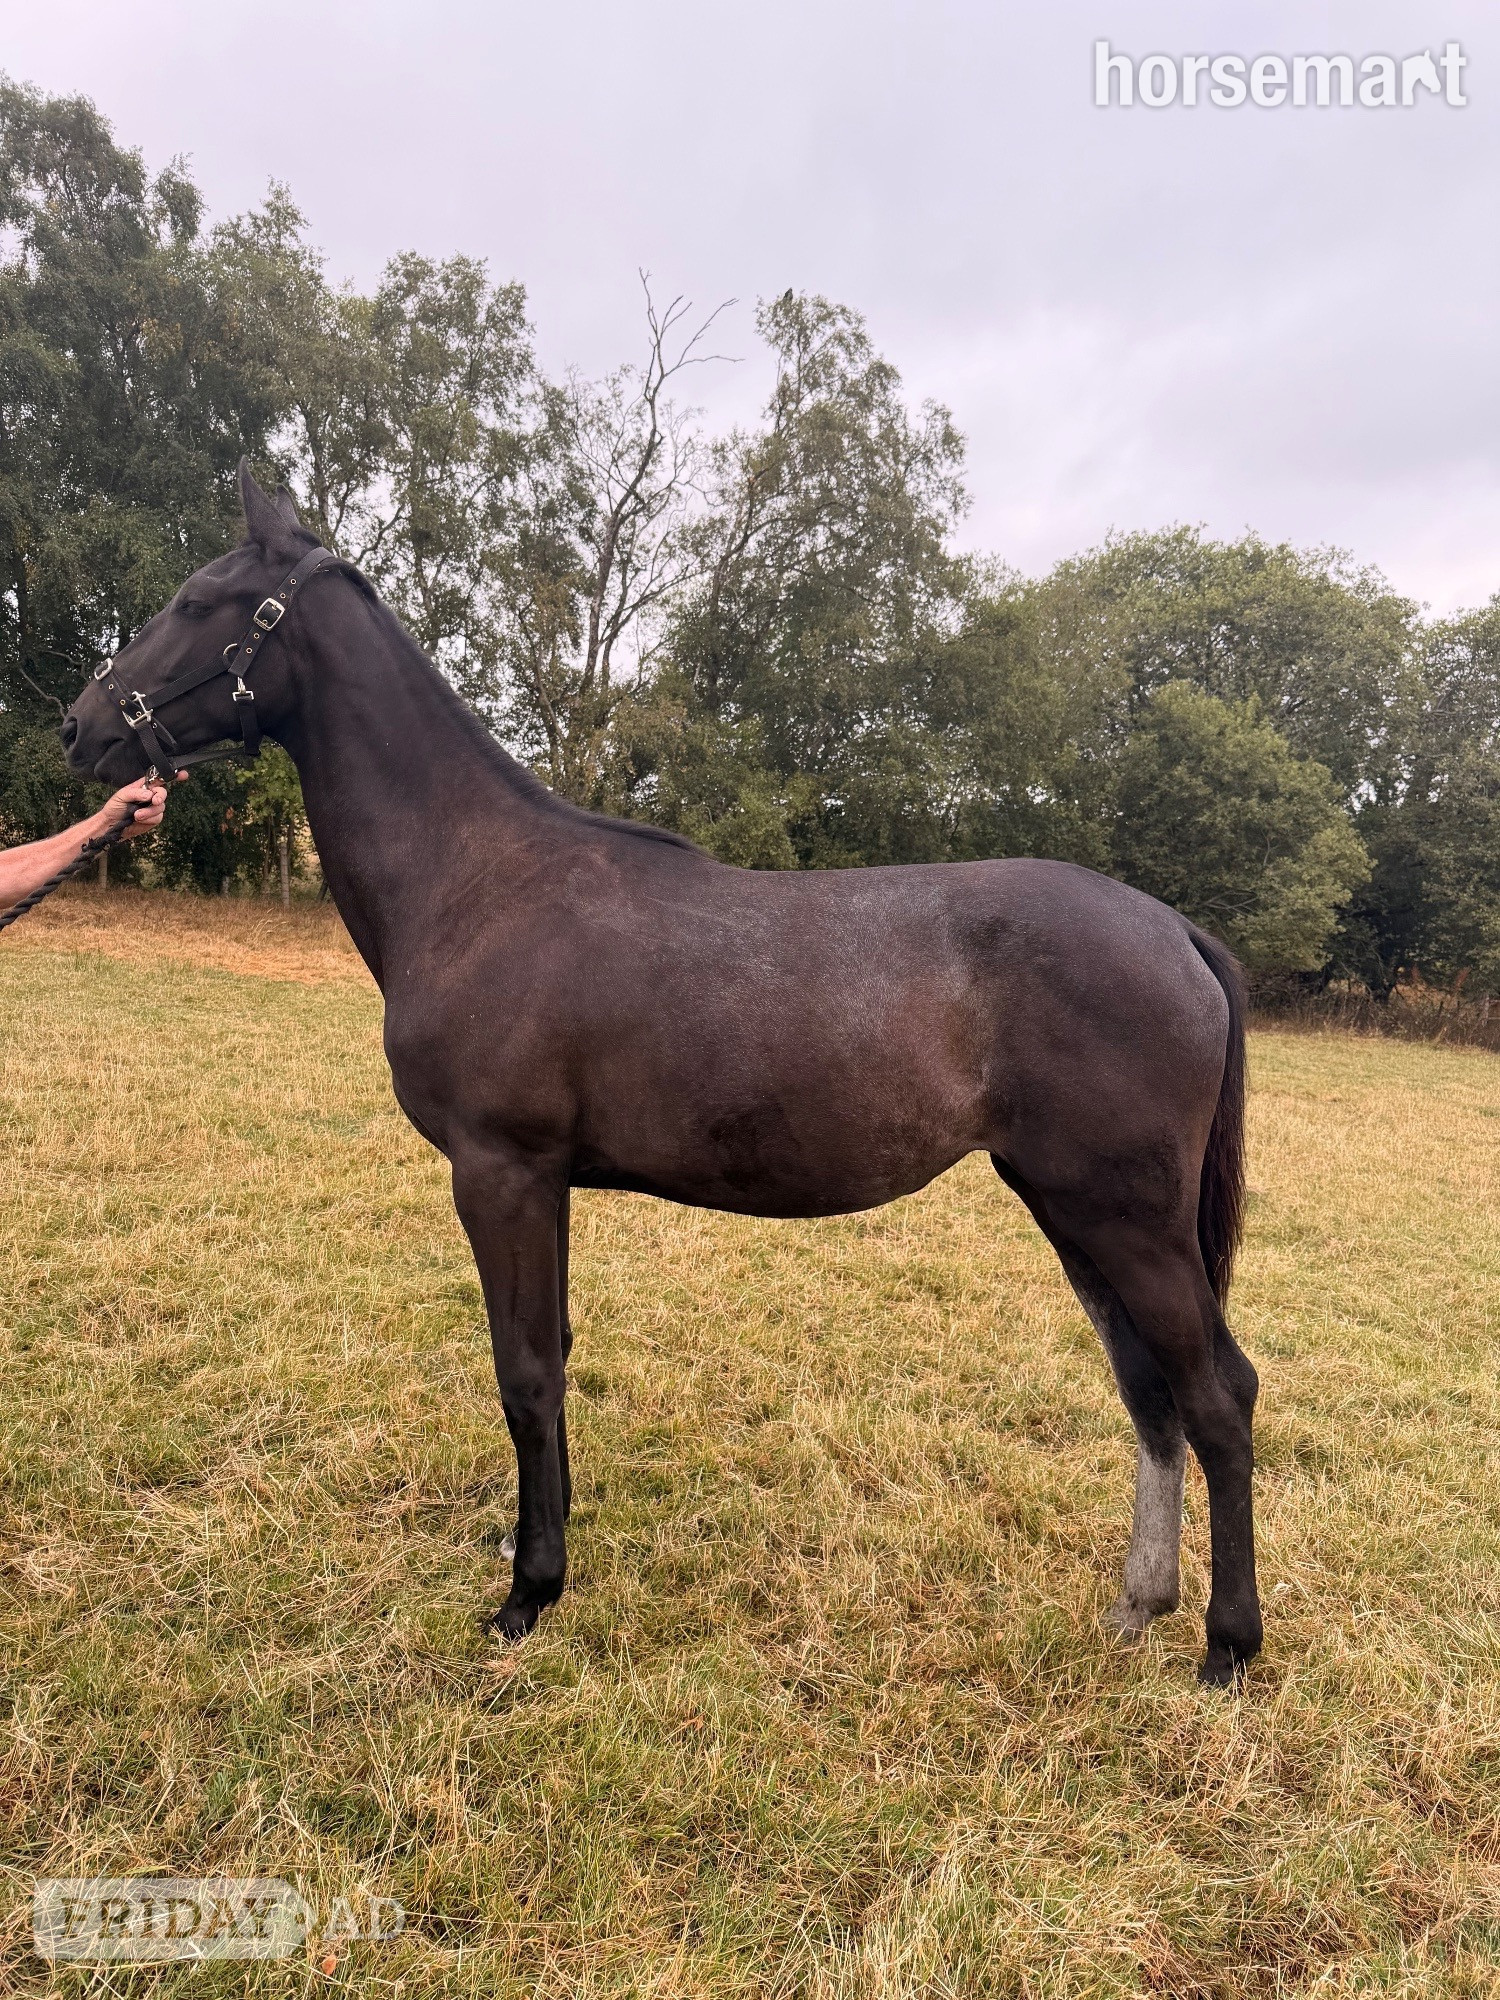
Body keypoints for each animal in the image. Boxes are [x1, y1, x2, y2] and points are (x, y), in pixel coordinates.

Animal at [61, 462, 1262, 1685]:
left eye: (198, 600)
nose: (81, 726)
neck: (478, 878)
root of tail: (1174, 931)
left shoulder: (500, 1171)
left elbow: (525, 1371)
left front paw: (527, 1593)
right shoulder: (541, 1182)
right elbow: (552, 1358)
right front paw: (547, 1559)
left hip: (1124, 1218)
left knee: (1217, 1394)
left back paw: (1227, 1645)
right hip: (1072, 1211)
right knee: (1149, 1389)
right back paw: (1139, 1604)